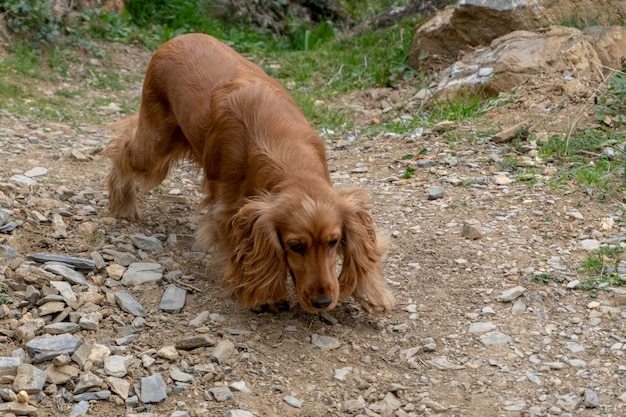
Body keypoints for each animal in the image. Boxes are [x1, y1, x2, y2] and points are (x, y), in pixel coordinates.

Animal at [105, 34, 392, 314]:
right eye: (295, 246)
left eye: (334, 242)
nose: (322, 302)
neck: (285, 155)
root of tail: (174, 39)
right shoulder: (230, 211)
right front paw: (267, 295)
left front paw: (371, 292)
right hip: (155, 144)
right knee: (122, 148)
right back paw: (123, 205)